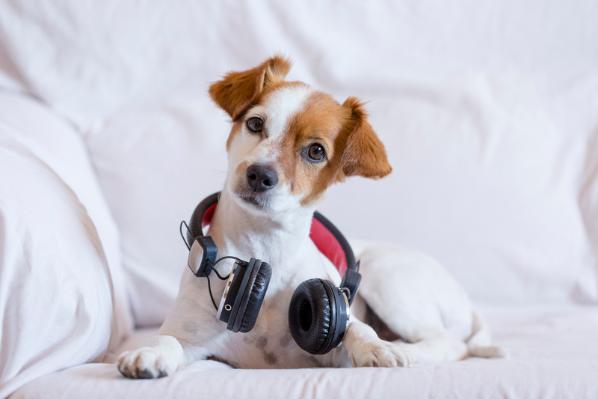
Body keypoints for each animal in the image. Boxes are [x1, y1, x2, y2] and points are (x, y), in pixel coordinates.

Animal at [117, 56, 506, 378]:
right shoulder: (192, 334)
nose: (259, 175)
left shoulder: (335, 345)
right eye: (255, 123)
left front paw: (376, 346)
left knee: (448, 342)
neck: (262, 253)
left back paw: (400, 345)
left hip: (387, 279)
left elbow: (356, 327)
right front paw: (150, 353)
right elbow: (168, 340)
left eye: (316, 151)